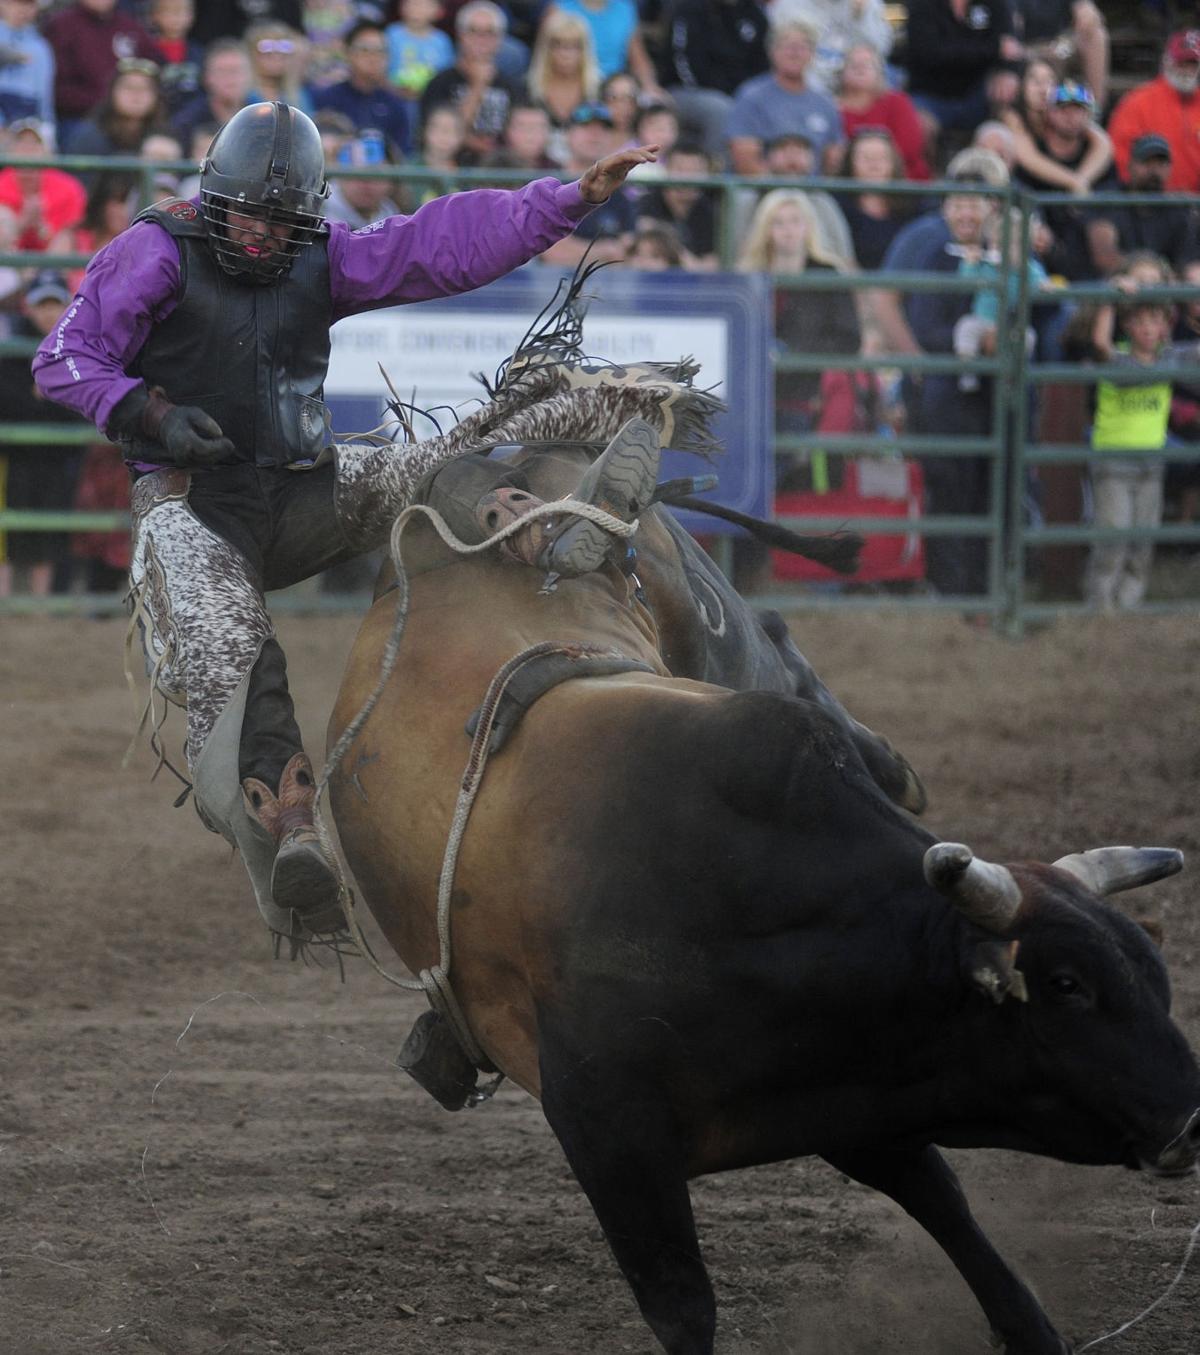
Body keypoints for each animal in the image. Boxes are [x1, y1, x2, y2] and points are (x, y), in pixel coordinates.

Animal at [323, 299, 1197, 1355]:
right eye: (1067, 985)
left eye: (1155, 970)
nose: (1193, 1118)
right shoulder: (612, 1135)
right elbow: (684, 1303)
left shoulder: (859, 1083)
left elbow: (942, 1199)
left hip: (685, 591)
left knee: (770, 642)